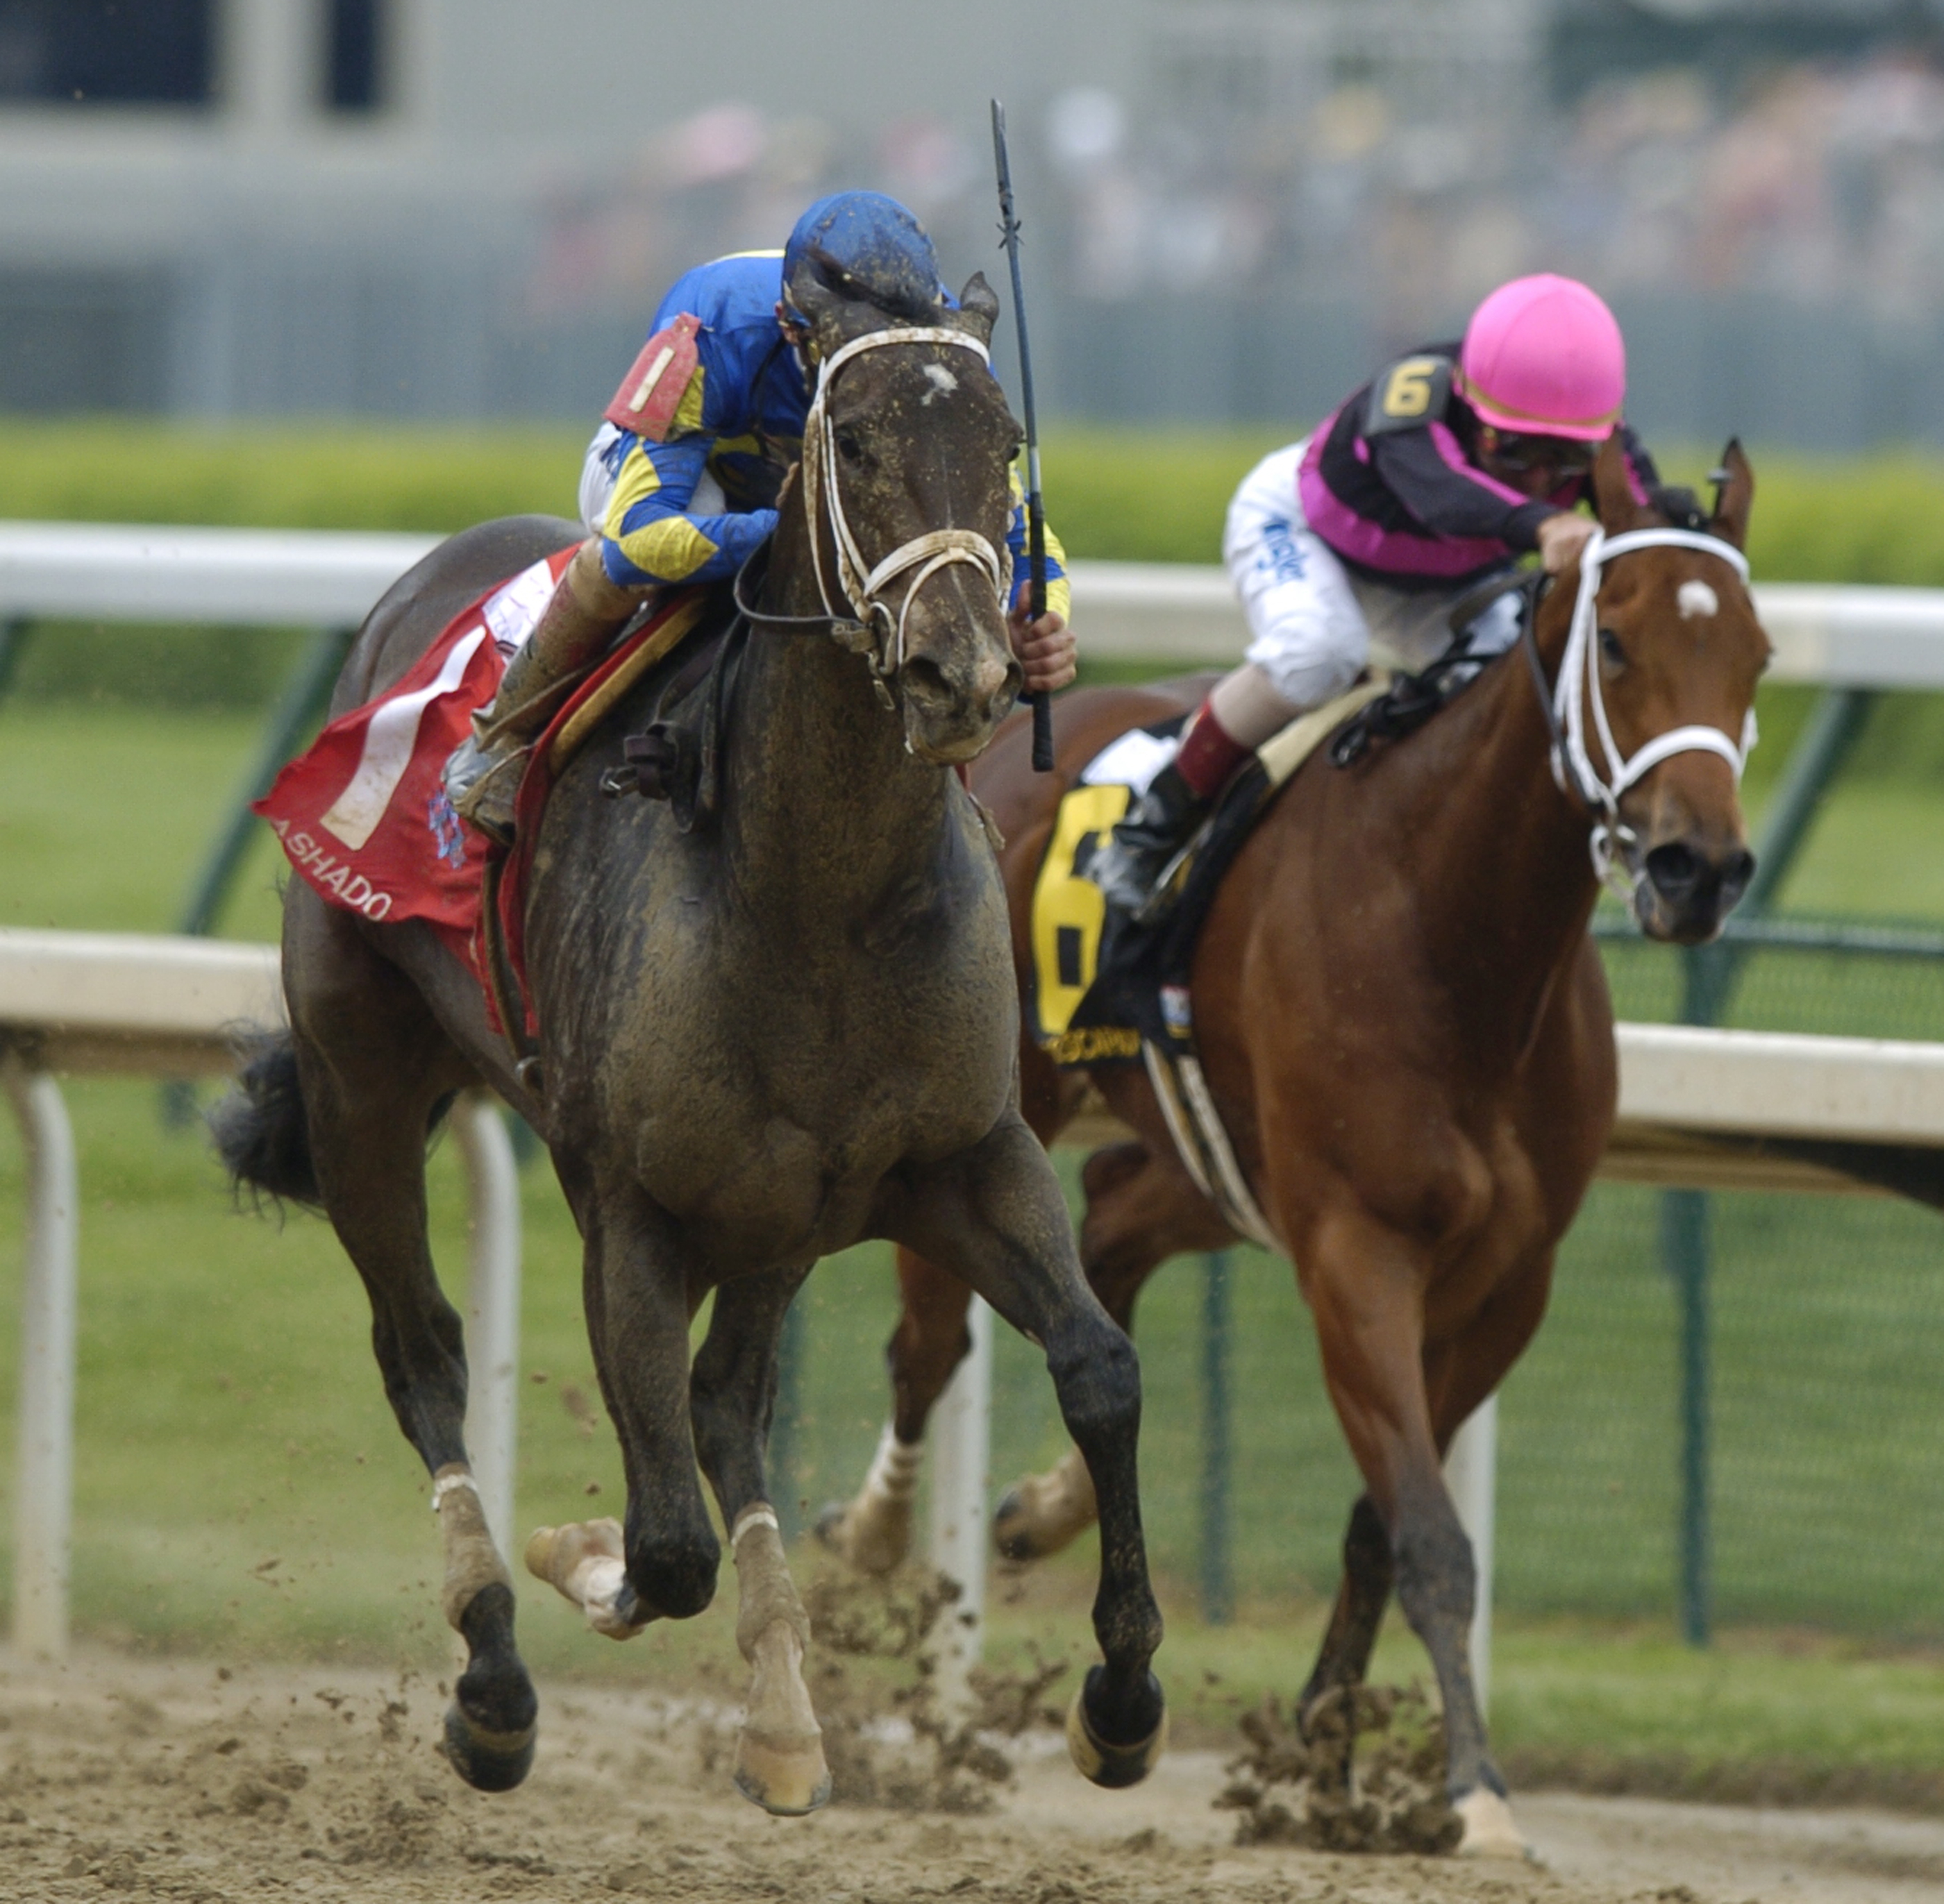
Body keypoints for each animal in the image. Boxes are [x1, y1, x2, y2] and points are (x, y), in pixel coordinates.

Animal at [214, 265, 1168, 1814]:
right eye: (856, 443)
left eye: (1008, 443)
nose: (965, 672)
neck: (821, 896)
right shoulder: (632, 1203)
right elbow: (662, 1541)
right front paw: (572, 1559)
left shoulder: (961, 1156)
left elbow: (1099, 1369)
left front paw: (1122, 1698)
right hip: (364, 1078)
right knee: (425, 1353)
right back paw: (495, 1675)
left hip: (780, 1208)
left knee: (725, 1400)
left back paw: (782, 1719)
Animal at [816, 439, 1767, 1853]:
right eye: (1618, 645)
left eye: (1757, 652)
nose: (1699, 867)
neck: (1458, 932)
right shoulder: (1356, 1253)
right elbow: (1431, 1532)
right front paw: (1474, 1790)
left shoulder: (1506, 1280)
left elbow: (1385, 1522)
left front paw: (1325, 1753)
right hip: (990, 1120)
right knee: (929, 1344)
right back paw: (875, 1532)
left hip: (1215, 1161)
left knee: (1113, 1219)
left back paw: (1047, 1504)